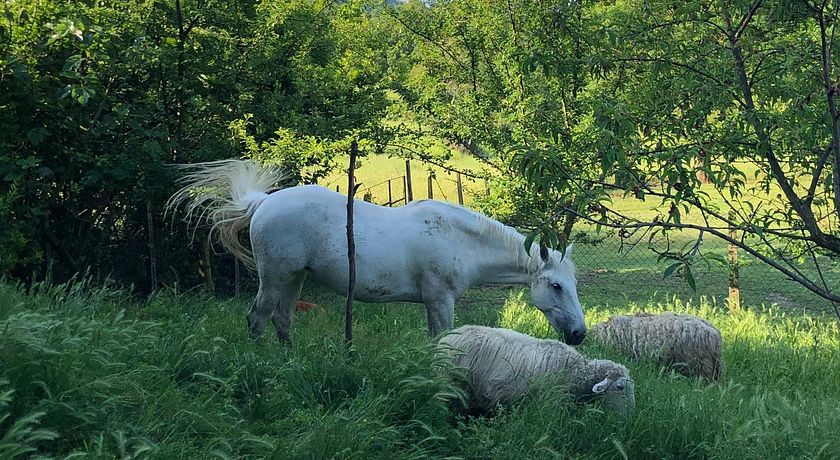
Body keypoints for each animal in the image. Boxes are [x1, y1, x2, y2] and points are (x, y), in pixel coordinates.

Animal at [168, 160, 588, 344]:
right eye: (556, 286)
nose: (579, 334)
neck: (458, 239)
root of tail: (264, 202)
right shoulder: (440, 300)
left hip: (294, 278)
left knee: (282, 320)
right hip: (274, 277)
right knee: (258, 319)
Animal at [436, 326, 632, 416]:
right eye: (620, 387)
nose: (628, 418)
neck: (578, 370)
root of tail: (445, 338)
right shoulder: (551, 399)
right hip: (454, 385)